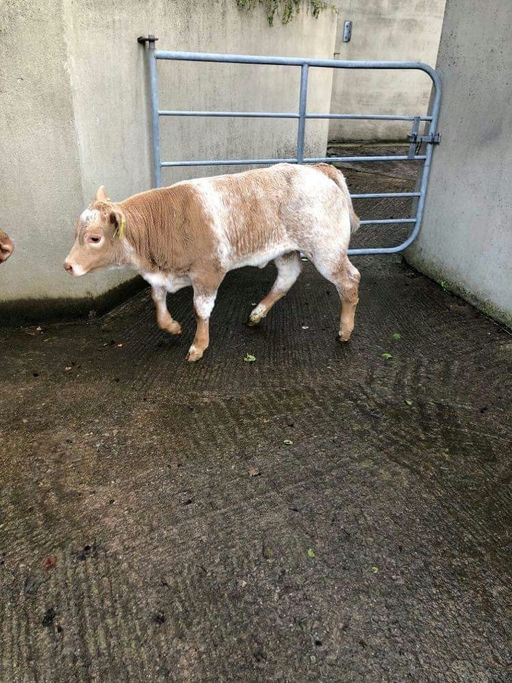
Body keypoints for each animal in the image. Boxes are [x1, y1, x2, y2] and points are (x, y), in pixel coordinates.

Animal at [64, 163, 361, 362]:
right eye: (76, 232)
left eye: (94, 238)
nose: (68, 265)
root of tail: (318, 168)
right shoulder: (161, 275)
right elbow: (157, 300)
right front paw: (171, 326)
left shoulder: (209, 272)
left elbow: (201, 310)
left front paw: (198, 346)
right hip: (287, 250)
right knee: (287, 276)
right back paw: (256, 314)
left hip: (326, 249)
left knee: (349, 280)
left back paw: (345, 331)